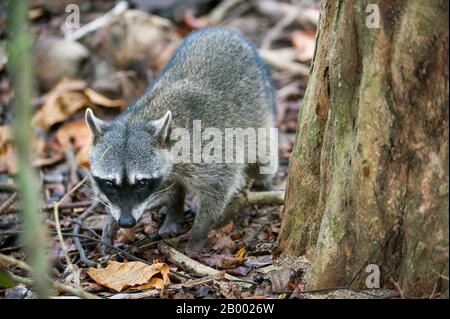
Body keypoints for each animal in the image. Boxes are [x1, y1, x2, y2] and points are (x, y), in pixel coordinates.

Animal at [85, 27, 278, 252]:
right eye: (109, 183)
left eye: (141, 183)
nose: (126, 222)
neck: (141, 119)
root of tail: (223, 29)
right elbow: (170, 185)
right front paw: (111, 218)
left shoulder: (211, 153)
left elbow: (219, 188)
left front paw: (198, 232)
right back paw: (174, 213)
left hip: (261, 117)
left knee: (264, 161)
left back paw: (265, 182)